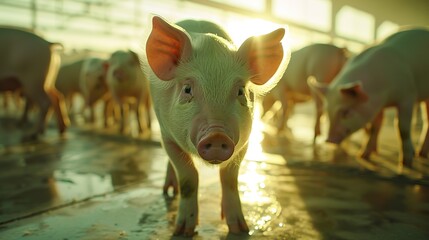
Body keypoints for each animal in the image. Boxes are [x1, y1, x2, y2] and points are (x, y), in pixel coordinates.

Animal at [144, 16, 288, 236]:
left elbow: (229, 179)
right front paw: (182, 231)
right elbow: (188, 178)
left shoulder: (244, 143)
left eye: (240, 91)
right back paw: (169, 191)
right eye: (187, 89)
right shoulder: (166, 135)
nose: (217, 135)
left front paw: (240, 229)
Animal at [310, 28, 428, 167]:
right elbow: (374, 127)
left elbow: (402, 128)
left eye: (346, 112)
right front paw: (362, 156)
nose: (329, 140)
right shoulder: (376, 106)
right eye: (328, 112)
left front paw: (406, 163)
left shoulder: (407, 96)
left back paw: (420, 154)